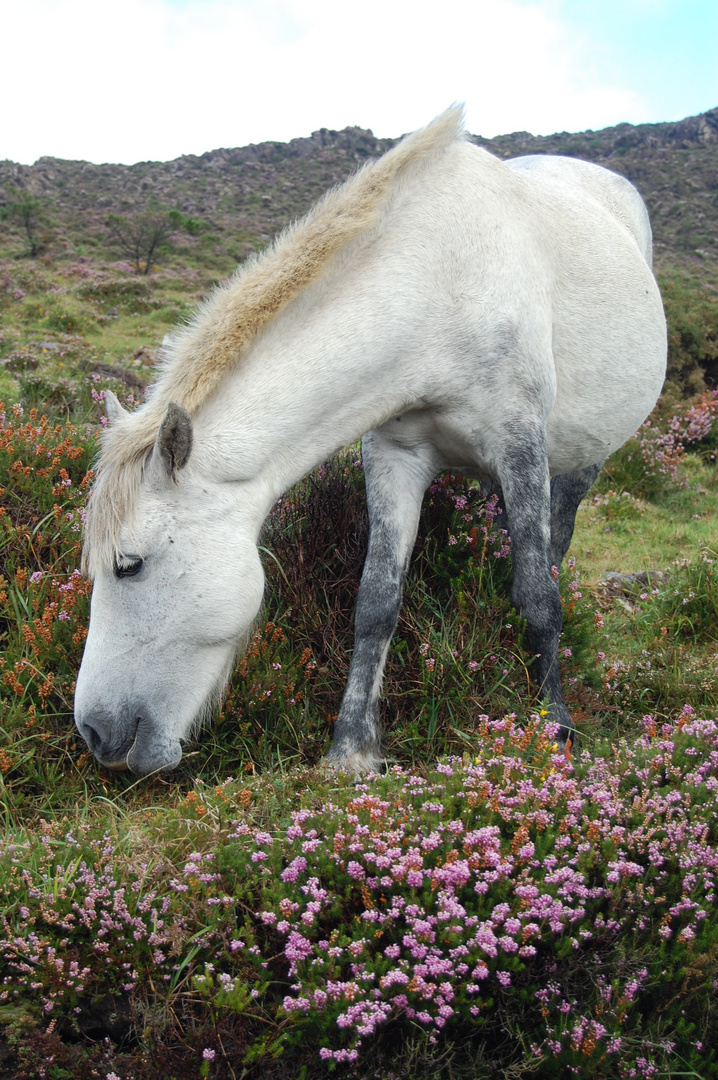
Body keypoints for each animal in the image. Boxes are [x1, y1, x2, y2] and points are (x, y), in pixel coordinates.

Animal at [73, 107, 665, 777]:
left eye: (130, 565)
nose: (95, 734)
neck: (438, 288)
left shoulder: (521, 447)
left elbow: (540, 596)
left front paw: (554, 728)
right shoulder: (394, 457)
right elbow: (376, 601)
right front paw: (352, 748)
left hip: (583, 458)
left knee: (556, 542)